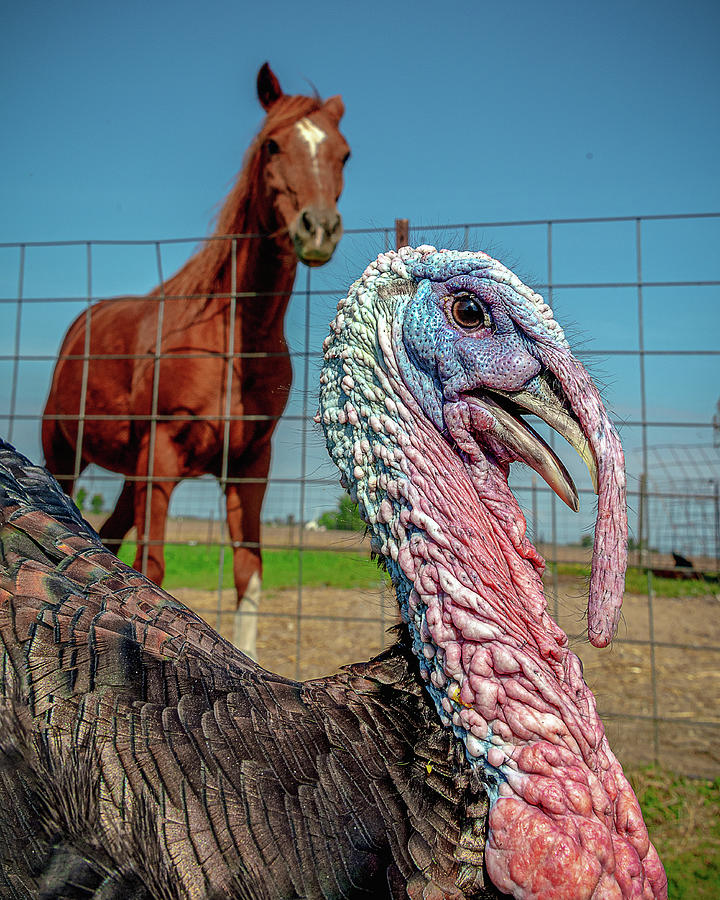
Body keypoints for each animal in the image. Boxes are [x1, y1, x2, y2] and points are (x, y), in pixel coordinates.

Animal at [41, 63, 350, 659]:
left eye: (344, 153)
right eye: (272, 144)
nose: (318, 228)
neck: (232, 340)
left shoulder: (250, 467)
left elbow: (249, 573)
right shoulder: (161, 455)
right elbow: (154, 568)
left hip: (131, 474)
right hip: (67, 453)